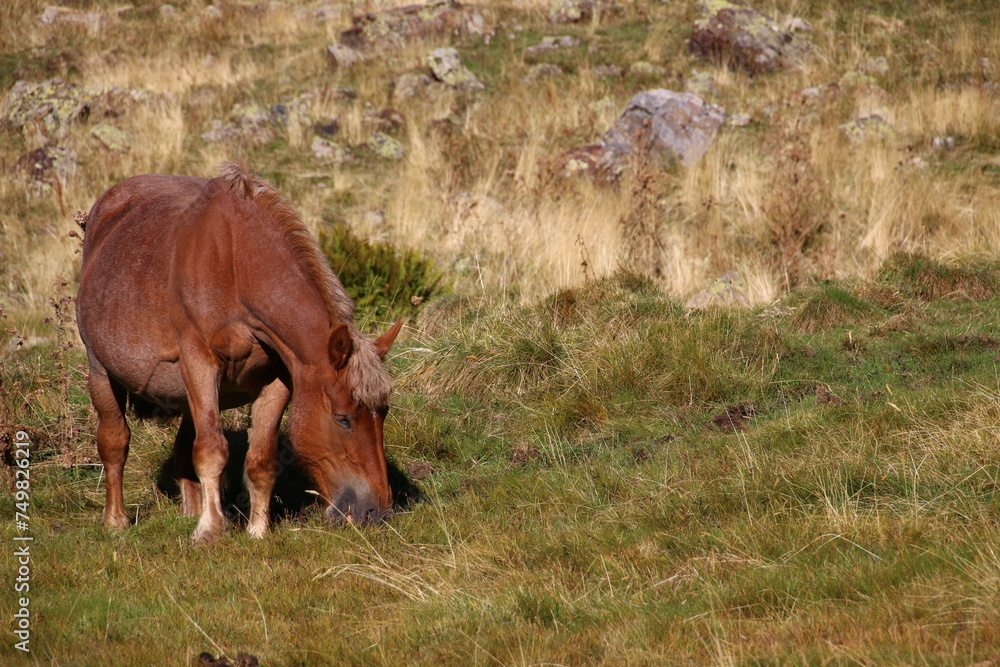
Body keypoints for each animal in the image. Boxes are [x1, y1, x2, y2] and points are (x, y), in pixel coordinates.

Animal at [76, 162, 403, 543]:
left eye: (383, 413)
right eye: (342, 418)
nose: (376, 511)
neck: (234, 264)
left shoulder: (279, 379)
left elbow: (261, 458)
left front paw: (257, 529)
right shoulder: (199, 363)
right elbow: (211, 450)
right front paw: (210, 529)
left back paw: (190, 509)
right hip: (102, 371)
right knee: (115, 442)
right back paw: (116, 520)